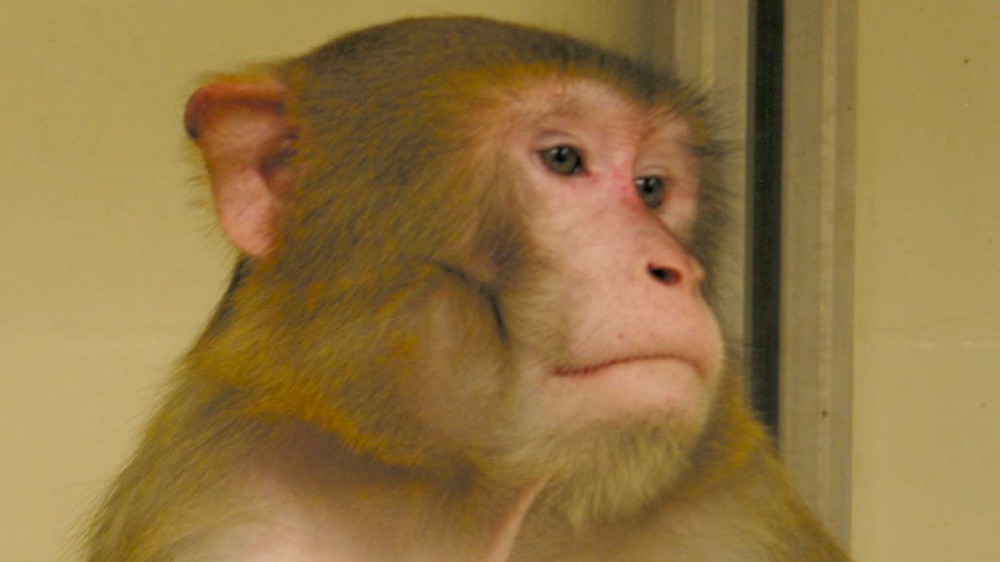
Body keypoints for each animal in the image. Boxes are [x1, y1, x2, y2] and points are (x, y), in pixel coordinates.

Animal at [84, 16, 848, 562]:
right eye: (564, 158)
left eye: (653, 188)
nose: (676, 271)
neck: (467, 495)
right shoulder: (220, 515)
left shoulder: (737, 517)